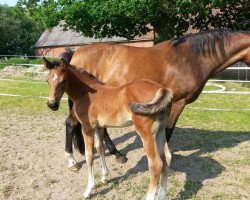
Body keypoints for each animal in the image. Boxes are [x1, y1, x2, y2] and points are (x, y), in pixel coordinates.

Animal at [43, 57, 172, 199]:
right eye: (47, 80)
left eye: (63, 80)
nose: (52, 104)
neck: (85, 93)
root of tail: (163, 89)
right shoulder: (99, 127)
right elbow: (100, 148)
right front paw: (104, 176)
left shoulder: (87, 128)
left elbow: (89, 155)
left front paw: (89, 189)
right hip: (160, 130)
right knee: (167, 158)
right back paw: (161, 195)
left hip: (146, 133)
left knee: (156, 164)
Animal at [63, 28, 250, 170]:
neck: (190, 59)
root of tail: (75, 52)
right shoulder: (177, 102)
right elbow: (167, 131)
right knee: (70, 123)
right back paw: (72, 161)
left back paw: (117, 154)